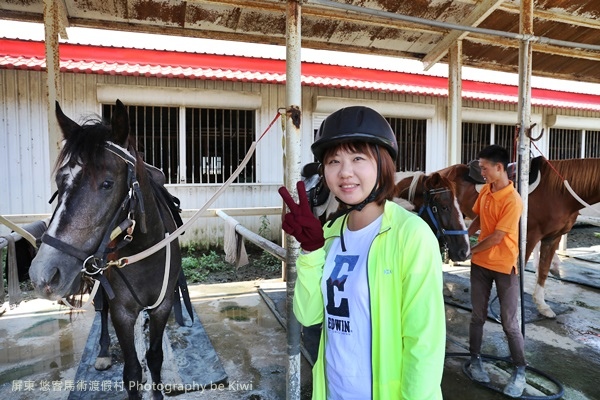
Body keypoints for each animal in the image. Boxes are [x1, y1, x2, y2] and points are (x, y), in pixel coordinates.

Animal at [28, 101, 186, 400]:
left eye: (107, 183)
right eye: (60, 182)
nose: (43, 274)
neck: (146, 252)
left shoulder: (163, 306)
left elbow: (155, 357)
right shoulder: (122, 311)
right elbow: (132, 371)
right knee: (101, 312)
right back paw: (102, 352)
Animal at [434, 158, 600, 318]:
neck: (558, 193)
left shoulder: (553, 238)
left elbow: (543, 270)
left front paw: (542, 305)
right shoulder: (530, 237)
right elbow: (519, 272)